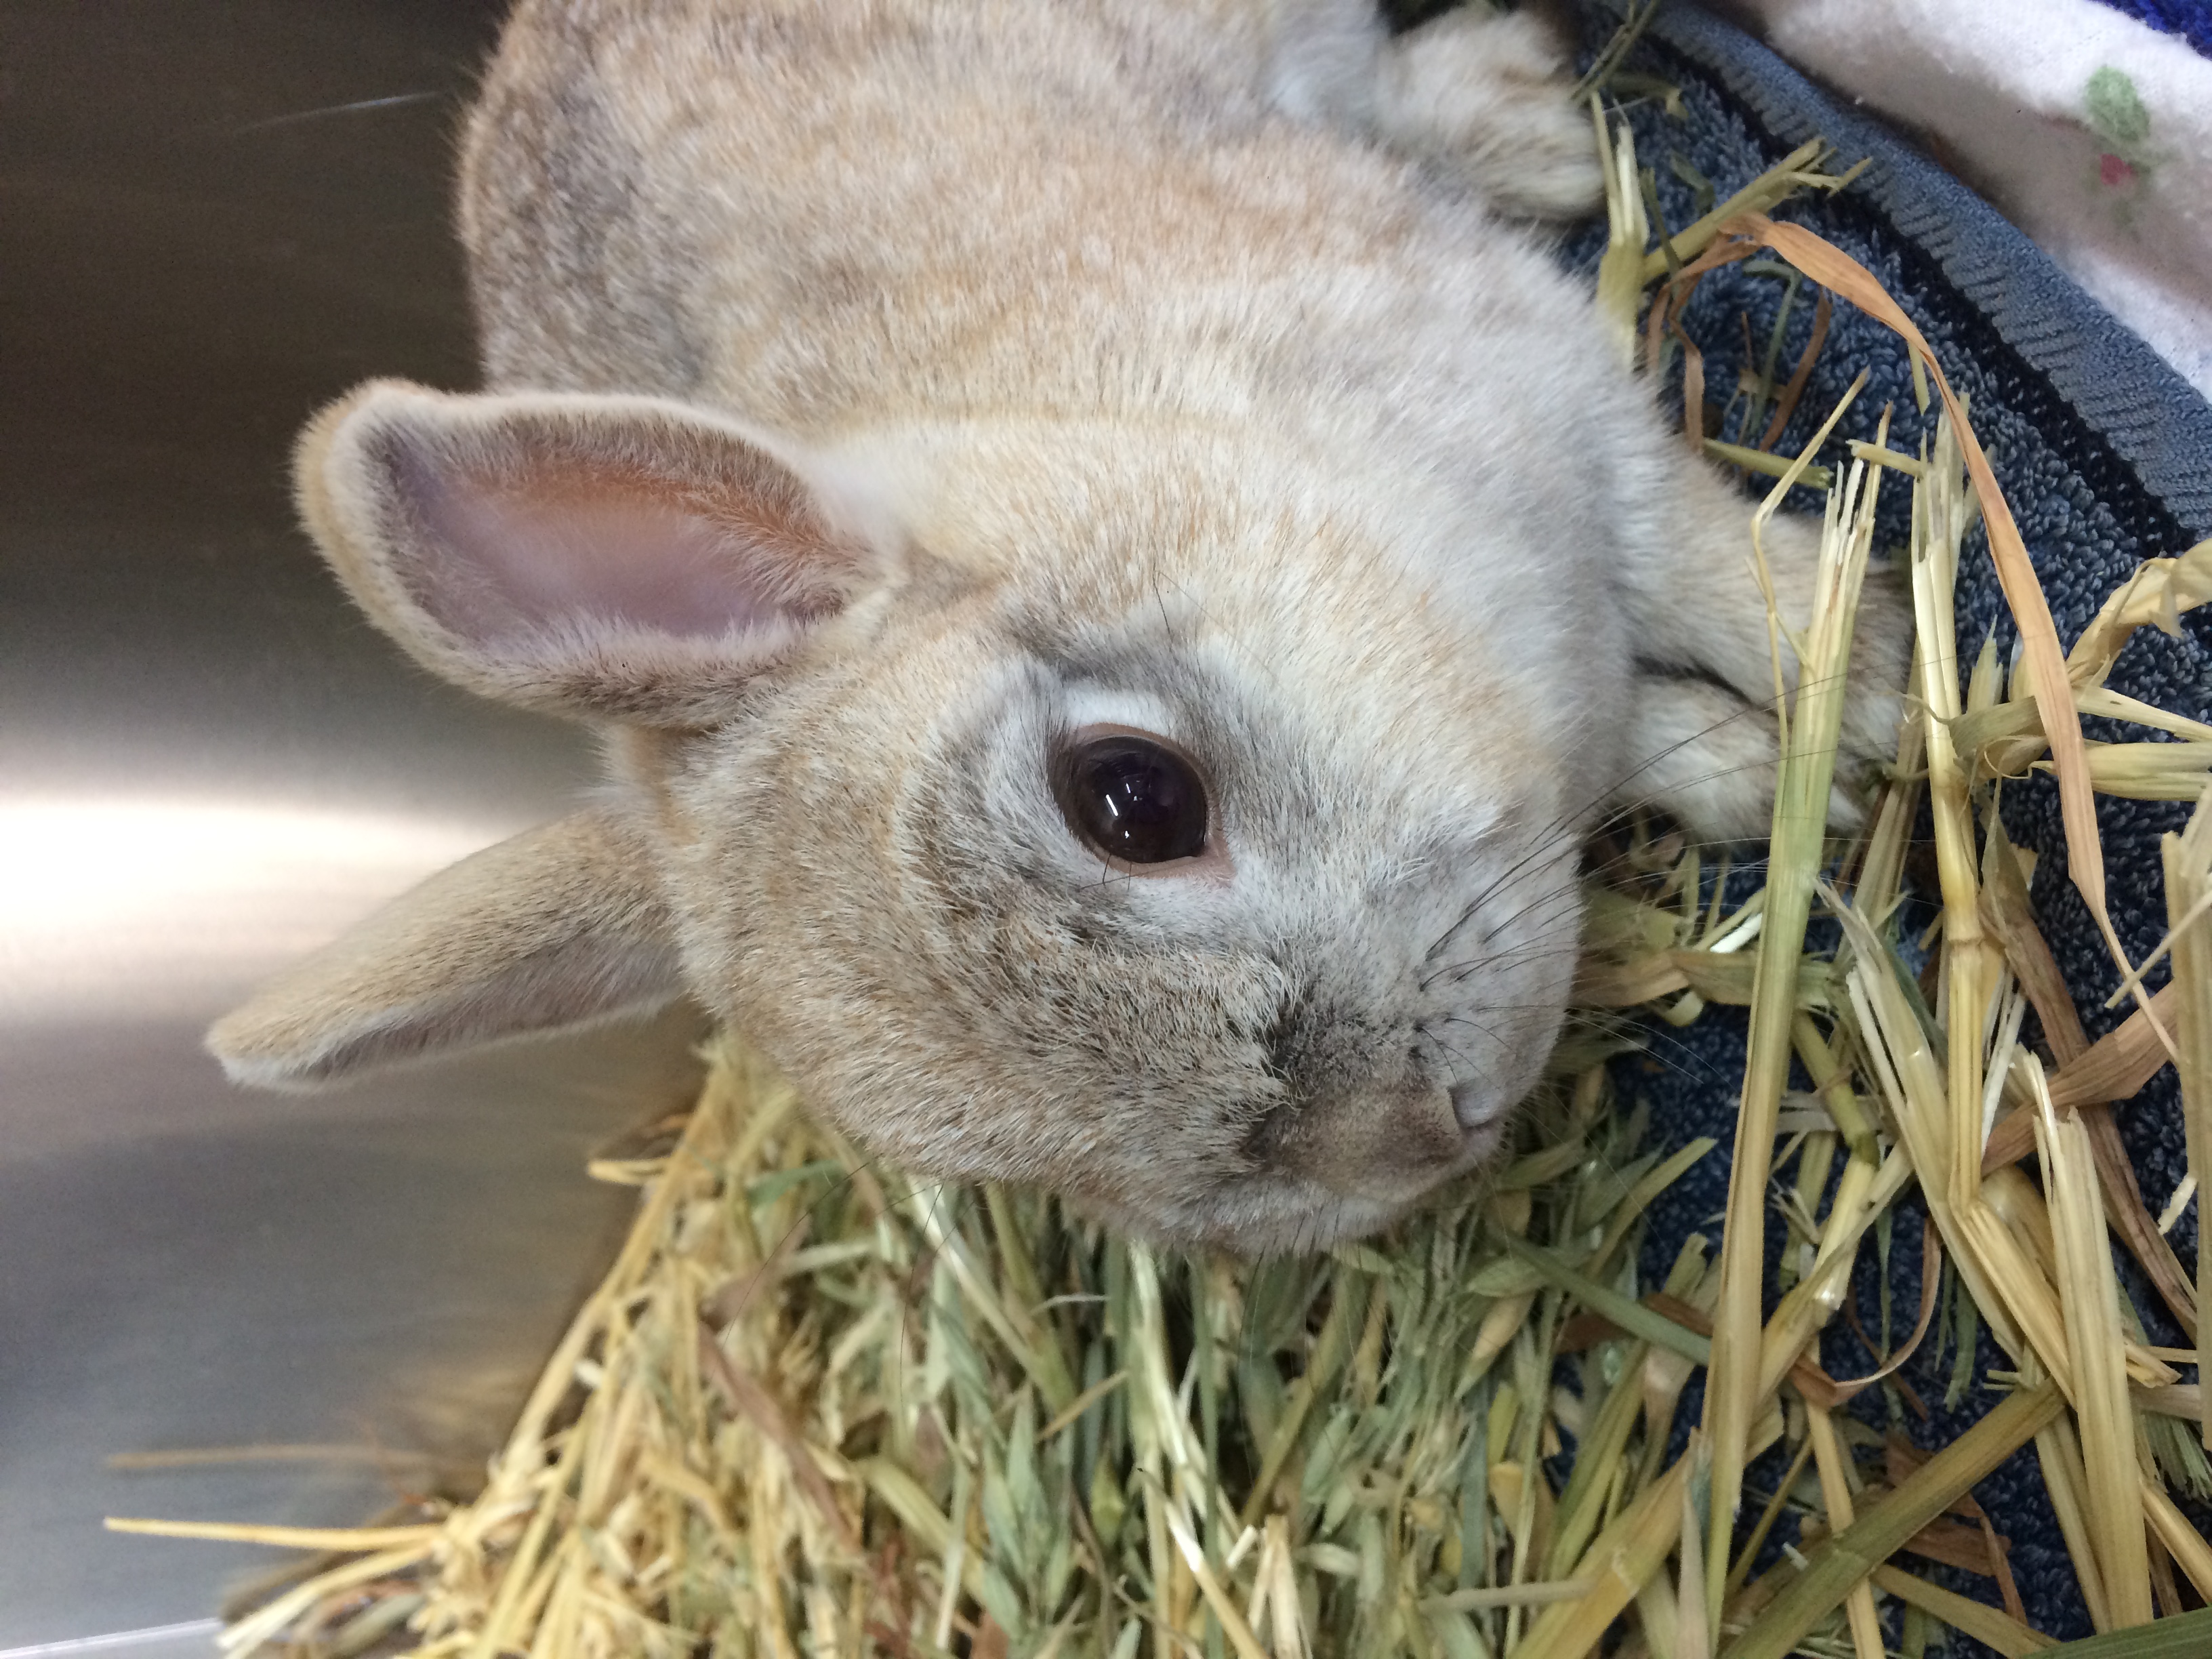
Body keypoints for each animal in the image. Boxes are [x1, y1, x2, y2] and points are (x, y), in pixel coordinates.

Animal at [207, 0, 1905, 1253]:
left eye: (1133, 799)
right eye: (1002, 1169)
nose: (1422, 1132)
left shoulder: (1553, 396)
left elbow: (1704, 562)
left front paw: (1878, 684)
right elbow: (1655, 721)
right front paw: (1765, 776)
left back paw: (1521, 118)